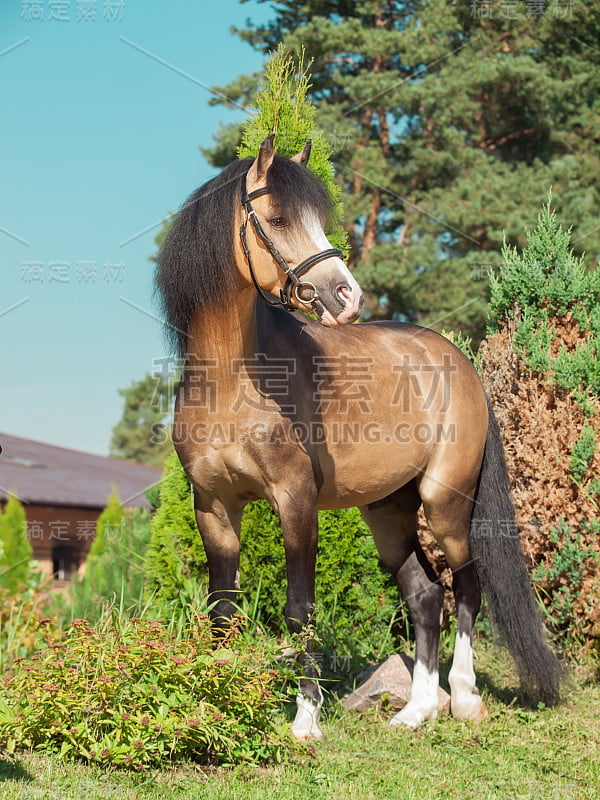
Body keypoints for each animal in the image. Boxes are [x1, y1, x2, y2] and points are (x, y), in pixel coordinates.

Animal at [156, 134, 564, 740]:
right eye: (277, 218)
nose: (346, 297)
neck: (232, 382)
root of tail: (455, 360)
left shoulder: (295, 500)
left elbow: (299, 609)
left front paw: (305, 722)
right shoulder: (213, 504)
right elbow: (222, 608)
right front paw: (213, 711)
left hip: (444, 503)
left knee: (466, 586)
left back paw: (465, 698)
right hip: (387, 510)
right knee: (424, 595)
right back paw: (416, 711)